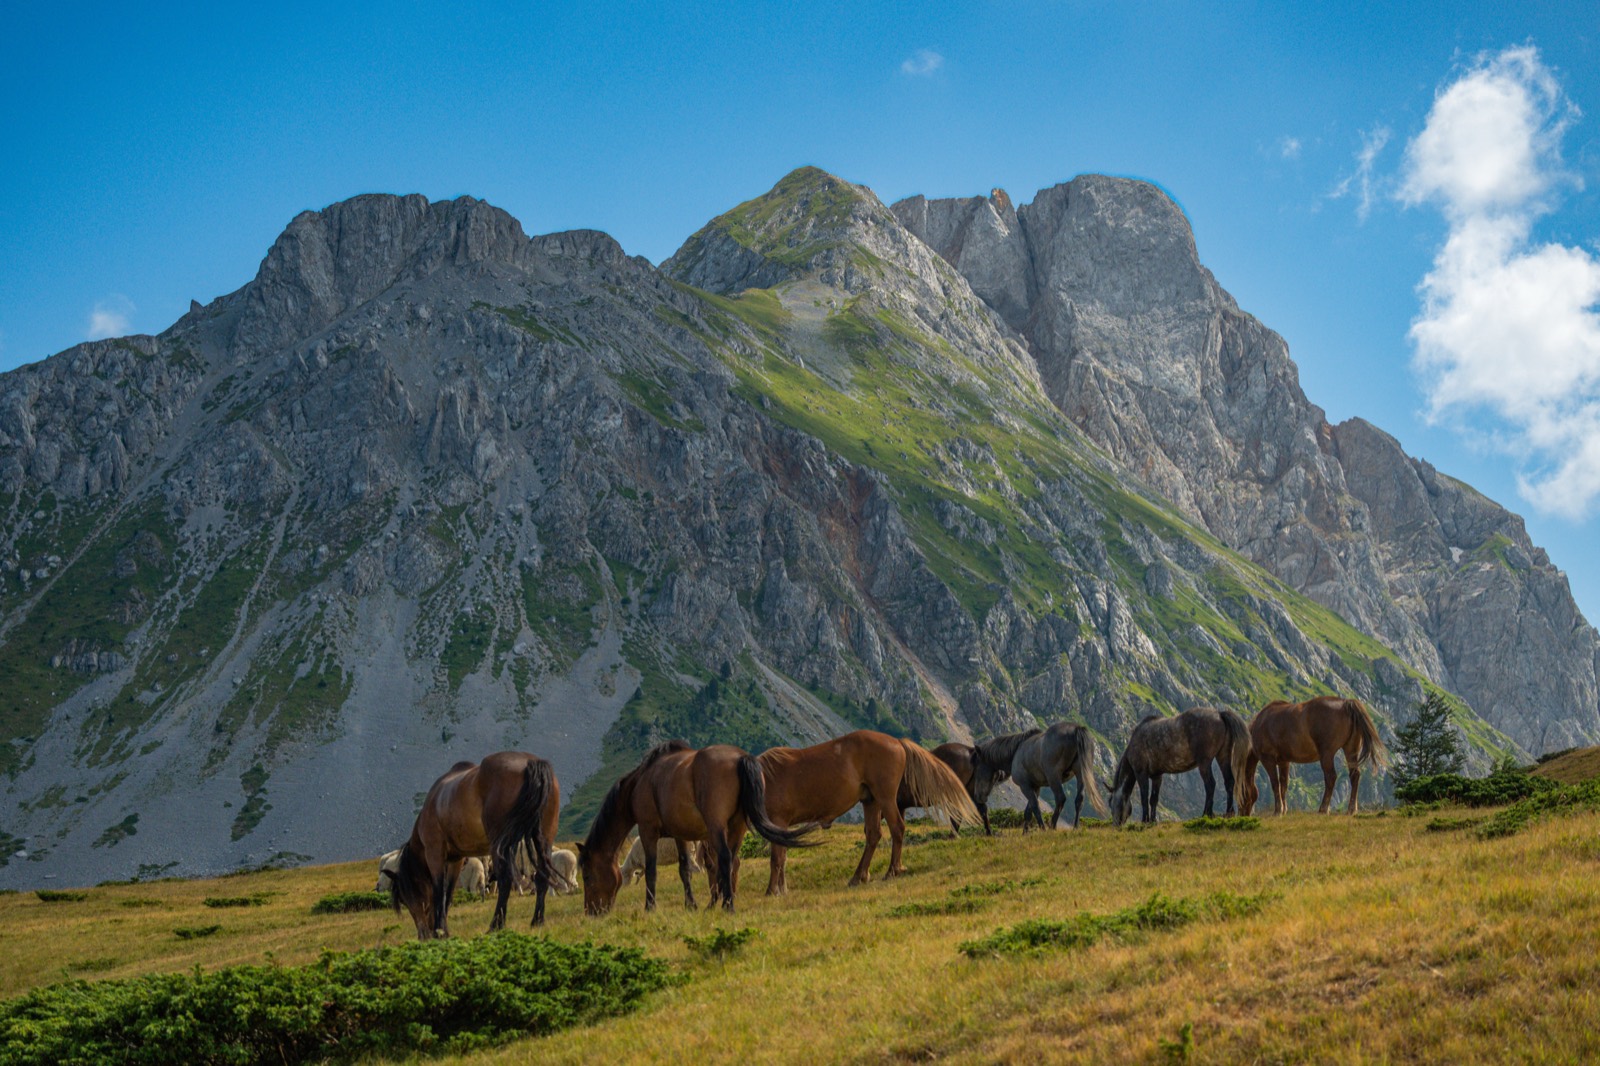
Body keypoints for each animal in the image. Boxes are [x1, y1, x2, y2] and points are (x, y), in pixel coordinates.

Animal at [387, 751, 559, 940]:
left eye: (406, 898)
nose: (423, 935)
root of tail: (531, 762)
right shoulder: (456, 860)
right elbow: (448, 893)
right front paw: (444, 929)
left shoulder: (435, 853)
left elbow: (439, 891)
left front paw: (440, 930)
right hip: (544, 838)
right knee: (541, 877)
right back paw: (537, 920)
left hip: (499, 845)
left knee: (505, 880)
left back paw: (495, 925)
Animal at [577, 740, 815, 915]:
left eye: (587, 876)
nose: (591, 912)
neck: (640, 783)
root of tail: (741, 758)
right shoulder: (679, 835)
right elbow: (684, 870)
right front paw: (690, 904)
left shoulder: (647, 831)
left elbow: (651, 871)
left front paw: (650, 907)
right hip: (737, 826)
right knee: (731, 860)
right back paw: (717, 903)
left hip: (717, 826)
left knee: (725, 859)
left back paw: (727, 905)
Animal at [756, 730, 982, 894]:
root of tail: (897, 742)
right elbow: (783, 855)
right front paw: (781, 889)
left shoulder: (779, 820)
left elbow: (777, 857)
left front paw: (772, 890)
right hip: (871, 801)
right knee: (875, 835)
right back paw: (860, 876)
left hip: (885, 798)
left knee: (897, 829)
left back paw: (892, 871)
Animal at [1107, 707, 1251, 826]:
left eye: (1112, 803)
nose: (1116, 825)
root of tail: (1219, 714)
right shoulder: (1157, 776)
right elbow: (1153, 799)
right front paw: (1153, 820)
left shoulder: (1141, 773)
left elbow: (1144, 797)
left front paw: (1145, 820)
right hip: (1223, 757)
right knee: (1229, 781)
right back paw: (1229, 812)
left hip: (1204, 762)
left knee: (1210, 784)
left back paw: (1206, 814)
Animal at [1240, 697, 1389, 816]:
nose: (1243, 814)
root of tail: (1346, 703)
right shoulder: (1284, 762)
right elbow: (1284, 785)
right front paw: (1284, 809)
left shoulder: (1268, 760)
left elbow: (1275, 784)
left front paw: (1277, 811)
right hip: (1350, 749)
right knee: (1354, 775)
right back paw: (1351, 809)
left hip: (1327, 754)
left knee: (1331, 777)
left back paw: (1323, 809)